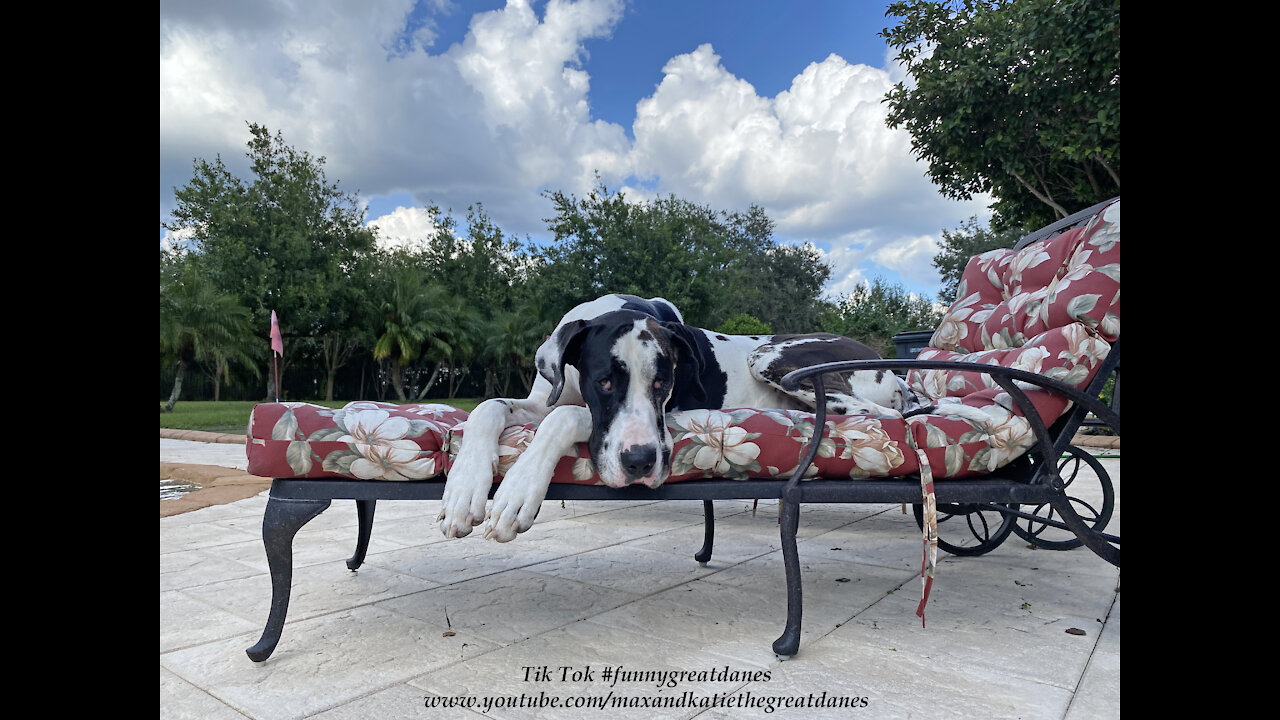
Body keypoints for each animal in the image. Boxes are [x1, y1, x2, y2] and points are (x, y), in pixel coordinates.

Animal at [440, 292, 921, 538]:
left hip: (772, 357)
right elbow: (488, 407)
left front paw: (516, 492)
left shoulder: (673, 417)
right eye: (605, 382)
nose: (639, 462)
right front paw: (463, 489)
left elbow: (570, 417)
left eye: (662, 383)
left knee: (876, 414)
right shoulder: (543, 399)